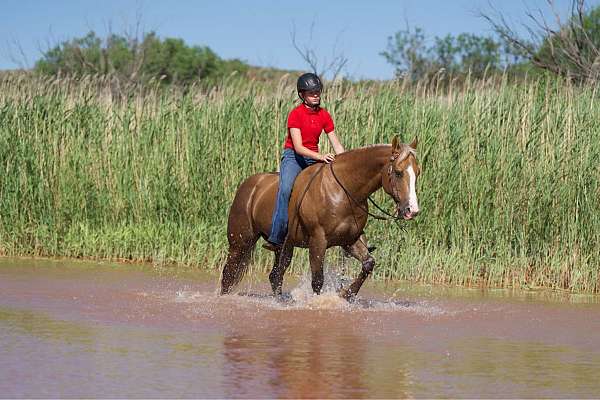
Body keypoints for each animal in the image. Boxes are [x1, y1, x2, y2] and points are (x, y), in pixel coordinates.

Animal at [218, 136, 420, 298]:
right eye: (398, 172)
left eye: (417, 173)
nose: (412, 210)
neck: (344, 190)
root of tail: (249, 185)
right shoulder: (318, 241)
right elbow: (317, 280)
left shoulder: (350, 240)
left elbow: (368, 264)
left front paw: (345, 294)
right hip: (240, 243)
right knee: (228, 274)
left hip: (284, 246)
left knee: (275, 276)